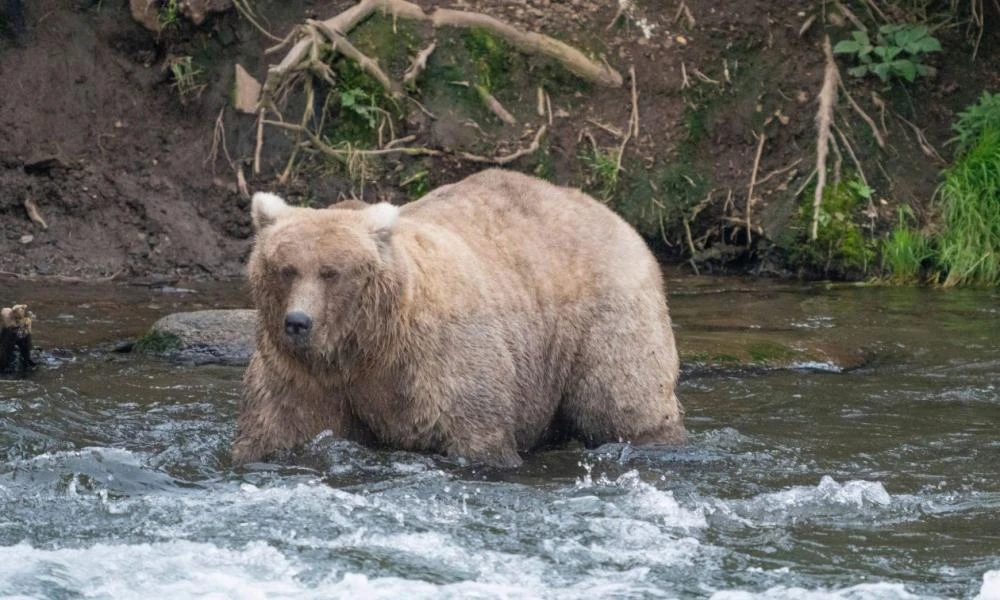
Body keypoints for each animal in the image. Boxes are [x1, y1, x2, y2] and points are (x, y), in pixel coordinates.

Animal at [232, 169, 688, 468]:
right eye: (286, 268)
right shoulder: (302, 374)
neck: (365, 346)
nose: (298, 322)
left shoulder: (439, 359)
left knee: (623, 400)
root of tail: (613, 215)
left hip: (603, 316)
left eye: (331, 272)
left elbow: (475, 430)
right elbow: (276, 427)